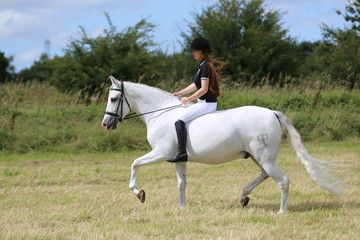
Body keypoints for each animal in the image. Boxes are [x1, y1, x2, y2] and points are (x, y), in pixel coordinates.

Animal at [101, 77, 346, 214]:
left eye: (113, 99)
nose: (106, 124)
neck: (161, 114)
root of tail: (273, 113)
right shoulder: (178, 159)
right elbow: (182, 183)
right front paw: (181, 207)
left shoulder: (160, 153)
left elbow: (135, 163)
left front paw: (139, 193)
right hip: (257, 156)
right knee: (265, 175)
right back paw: (244, 197)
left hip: (265, 157)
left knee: (282, 180)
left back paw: (281, 212)